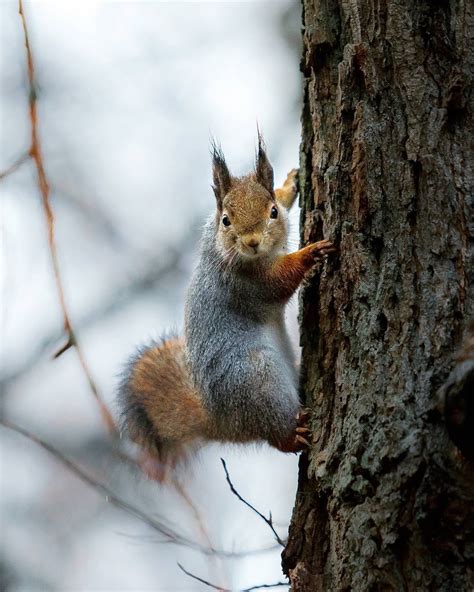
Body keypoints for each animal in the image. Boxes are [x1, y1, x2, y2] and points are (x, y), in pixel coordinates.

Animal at [117, 134, 336, 476]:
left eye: (273, 211)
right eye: (226, 220)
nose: (251, 242)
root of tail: (221, 422)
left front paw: (289, 184)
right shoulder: (244, 284)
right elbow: (279, 281)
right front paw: (309, 253)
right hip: (257, 380)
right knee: (276, 435)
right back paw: (293, 433)